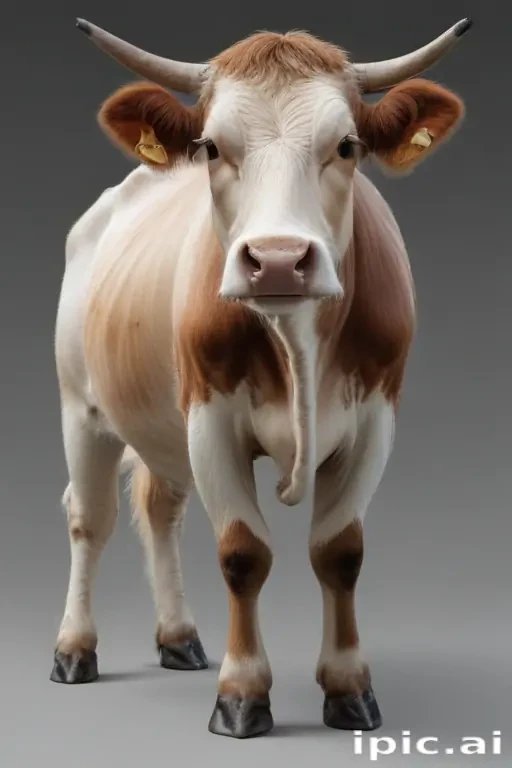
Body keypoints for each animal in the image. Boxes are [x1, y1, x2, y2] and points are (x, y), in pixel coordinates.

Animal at [51, 17, 471, 739]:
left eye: (347, 145)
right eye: (212, 147)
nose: (277, 260)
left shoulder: (375, 419)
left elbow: (340, 551)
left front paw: (349, 688)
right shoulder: (210, 418)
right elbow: (243, 552)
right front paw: (242, 694)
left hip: (158, 422)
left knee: (159, 509)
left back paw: (179, 638)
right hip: (82, 407)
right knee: (89, 518)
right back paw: (74, 648)